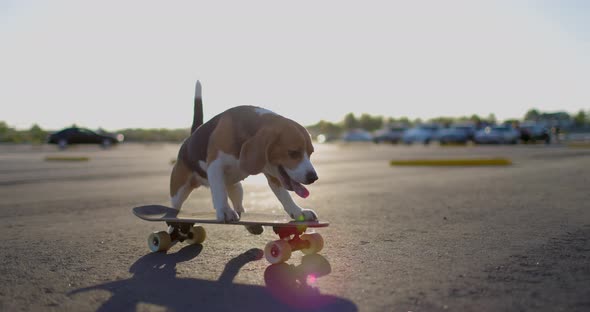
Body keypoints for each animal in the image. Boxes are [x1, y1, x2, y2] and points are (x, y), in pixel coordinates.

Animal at [171, 80, 320, 222]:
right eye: (293, 153)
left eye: (311, 153)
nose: (313, 178)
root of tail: (190, 138)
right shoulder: (215, 165)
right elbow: (219, 190)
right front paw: (224, 210)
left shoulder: (273, 175)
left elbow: (285, 196)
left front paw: (298, 212)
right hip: (178, 192)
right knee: (176, 207)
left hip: (237, 189)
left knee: (238, 205)